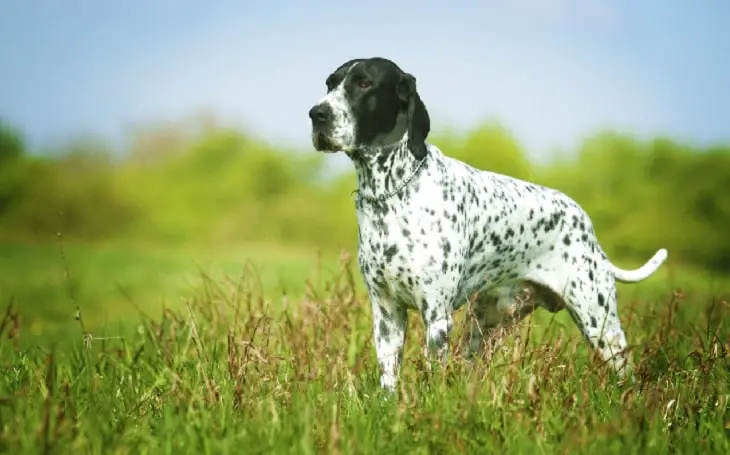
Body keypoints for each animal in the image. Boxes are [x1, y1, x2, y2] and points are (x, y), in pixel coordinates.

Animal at [306, 56, 664, 392]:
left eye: (364, 83)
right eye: (330, 84)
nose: (316, 114)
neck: (391, 193)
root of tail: (585, 224)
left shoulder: (436, 315)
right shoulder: (386, 313)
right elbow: (389, 380)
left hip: (600, 325)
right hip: (484, 327)